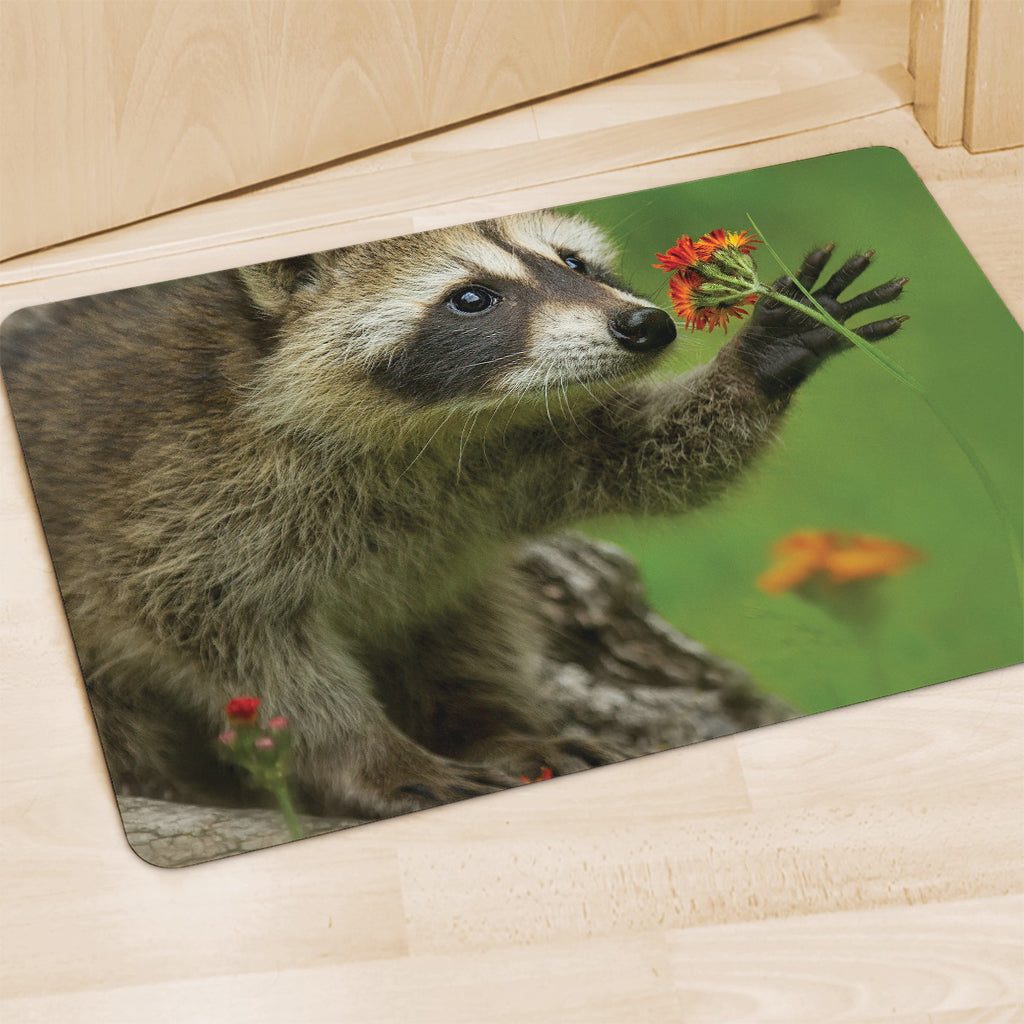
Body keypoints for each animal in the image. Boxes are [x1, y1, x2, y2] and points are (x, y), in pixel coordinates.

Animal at [0, 211, 906, 817]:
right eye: (471, 299)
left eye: (572, 260)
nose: (646, 324)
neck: (432, 433)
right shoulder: (178, 497)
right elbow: (235, 639)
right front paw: (367, 754)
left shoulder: (522, 449)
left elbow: (650, 460)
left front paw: (757, 358)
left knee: (462, 618)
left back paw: (492, 723)